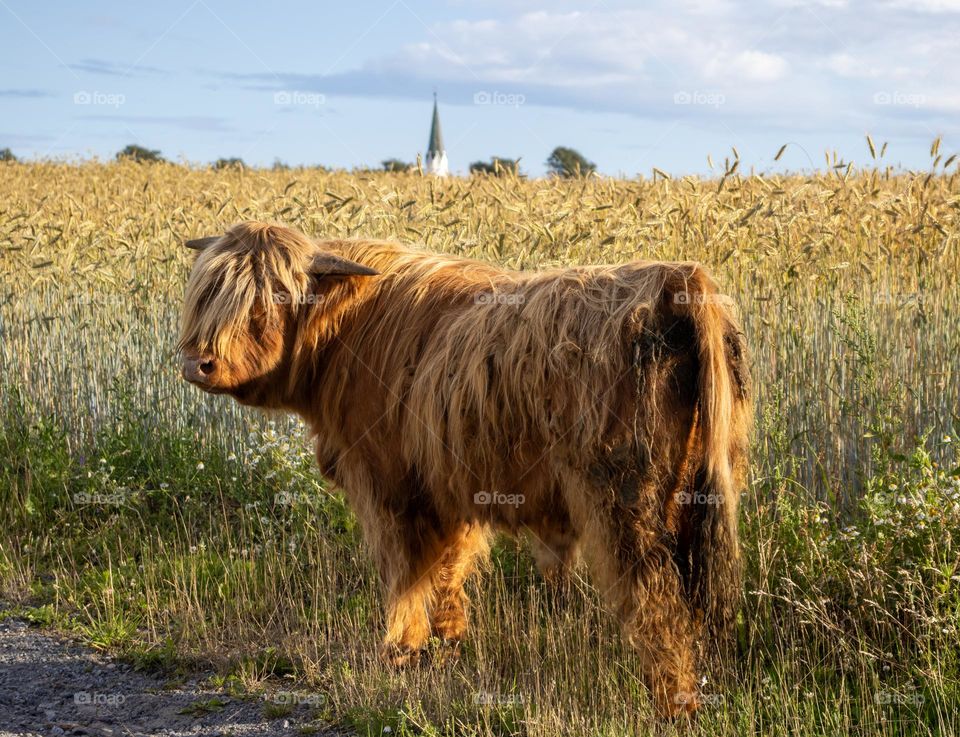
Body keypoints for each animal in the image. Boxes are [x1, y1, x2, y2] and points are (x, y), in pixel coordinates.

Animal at [178, 221, 752, 716]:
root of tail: (677, 280)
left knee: (656, 598)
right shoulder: (450, 486)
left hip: (625, 502)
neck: (347, 331)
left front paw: (399, 651)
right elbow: (448, 566)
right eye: (205, 296)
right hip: (697, 492)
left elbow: (405, 571)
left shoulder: (387, 483)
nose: (197, 364)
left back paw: (674, 702)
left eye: (270, 298)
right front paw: (448, 641)